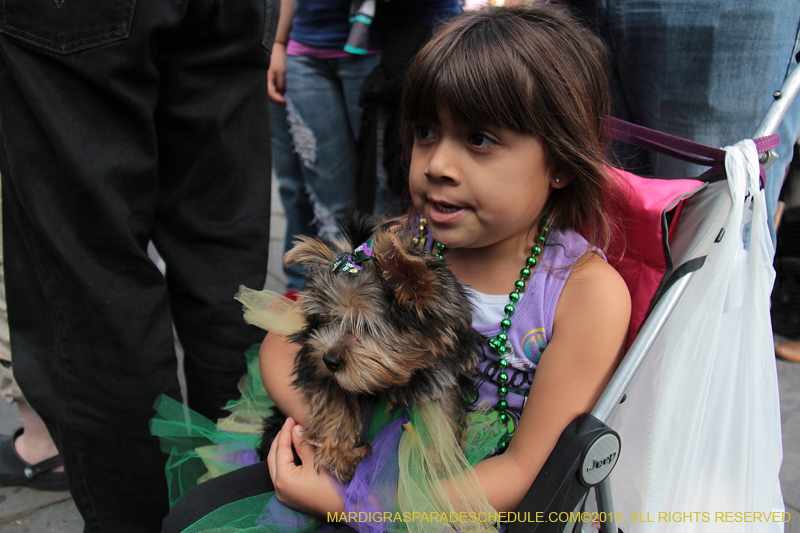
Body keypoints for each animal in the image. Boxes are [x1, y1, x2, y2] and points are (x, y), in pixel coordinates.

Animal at [258, 212, 482, 482]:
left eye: (364, 326)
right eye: (327, 320)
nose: (329, 360)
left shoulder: (445, 371)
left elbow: (442, 412)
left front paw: (441, 459)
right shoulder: (315, 357)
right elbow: (336, 396)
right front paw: (340, 453)